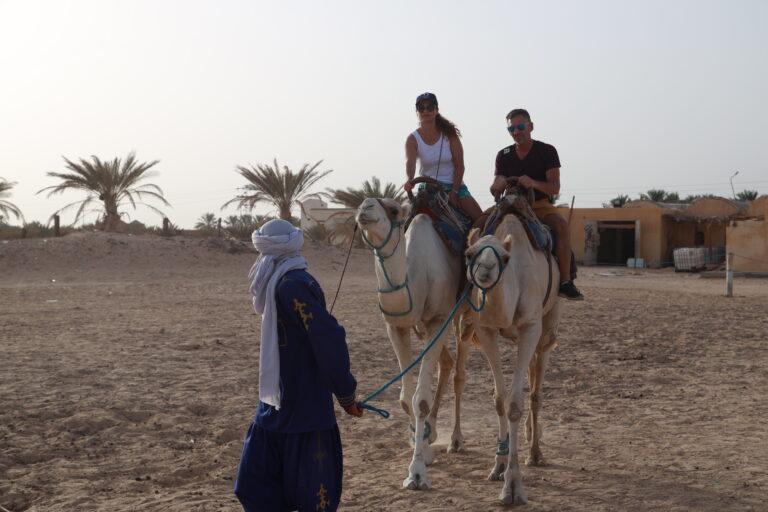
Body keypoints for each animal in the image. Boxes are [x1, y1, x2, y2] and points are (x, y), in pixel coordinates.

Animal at [354, 197, 474, 492]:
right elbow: (406, 398)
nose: (365, 207)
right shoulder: (397, 326)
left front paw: (417, 472)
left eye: (393, 210)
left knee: (460, 371)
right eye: (361, 204)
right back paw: (431, 433)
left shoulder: (438, 319)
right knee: (446, 363)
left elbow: (420, 399)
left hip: (463, 312)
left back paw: (456, 439)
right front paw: (421, 445)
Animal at [464, 213, 560, 508]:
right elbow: (499, 399)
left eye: (505, 258)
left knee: (536, 391)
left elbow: (515, 403)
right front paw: (497, 466)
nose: (486, 269)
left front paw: (513, 486)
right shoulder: (485, 329)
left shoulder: (530, 327)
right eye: (469, 253)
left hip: (547, 326)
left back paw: (536, 453)